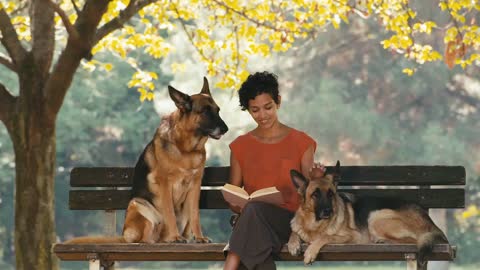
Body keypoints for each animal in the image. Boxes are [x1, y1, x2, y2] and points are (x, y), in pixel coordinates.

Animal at [66, 77, 229, 244]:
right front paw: (175, 236)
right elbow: (169, 212)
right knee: (145, 238)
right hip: (139, 204)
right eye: (205, 111)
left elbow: (195, 214)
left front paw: (200, 237)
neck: (186, 149)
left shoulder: (196, 185)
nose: (226, 129)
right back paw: (165, 238)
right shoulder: (165, 184)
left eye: (217, 110)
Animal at [286, 160, 448, 266]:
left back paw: (382, 241)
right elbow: (294, 231)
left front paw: (310, 251)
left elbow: (325, 237)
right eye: (315, 195)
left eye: (331, 194)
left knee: (414, 240)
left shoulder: (353, 236)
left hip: (376, 217)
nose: (328, 211)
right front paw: (293, 243)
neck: (314, 225)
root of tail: (428, 218)